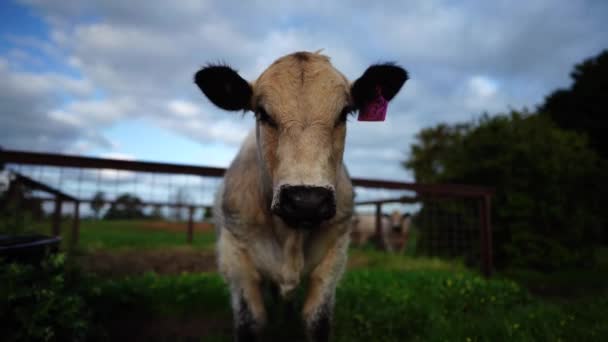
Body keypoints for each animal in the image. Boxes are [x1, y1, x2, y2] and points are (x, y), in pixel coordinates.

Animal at [192, 51, 406, 342]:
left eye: (344, 113)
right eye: (262, 113)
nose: (307, 201)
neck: (291, 235)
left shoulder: (333, 258)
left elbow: (316, 320)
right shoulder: (236, 260)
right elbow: (251, 322)